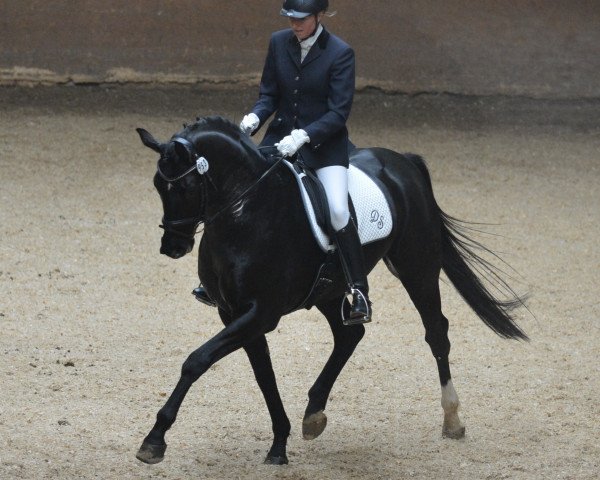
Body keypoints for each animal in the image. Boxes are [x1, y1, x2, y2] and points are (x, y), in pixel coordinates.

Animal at [135, 115, 524, 464]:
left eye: (184, 187)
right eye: (156, 184)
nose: (173, 247)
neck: (246, 213)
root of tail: (402, 160)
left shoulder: (261, 313)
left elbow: (196, 361)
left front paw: (154, 440)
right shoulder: (234, 313)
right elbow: (264, 375)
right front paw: (279, 444)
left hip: (418, 268)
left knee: (436, 333)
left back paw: (452, 419)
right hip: (330, 288)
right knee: (349, 335)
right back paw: (314, 414)